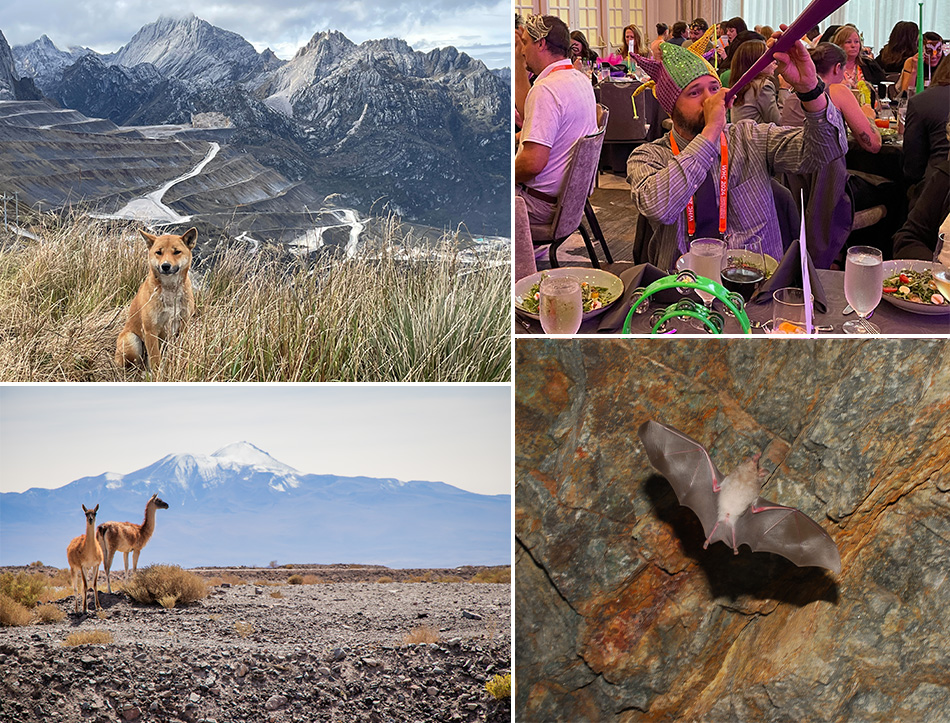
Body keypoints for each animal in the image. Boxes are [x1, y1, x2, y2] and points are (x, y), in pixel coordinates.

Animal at [115, 229, 197, 370]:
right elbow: (155, 360)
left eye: (177, 251)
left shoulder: (183, 324)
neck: (170, 290)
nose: (165, 266)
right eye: (159, 252)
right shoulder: (150, 331)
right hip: (132, 340)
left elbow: (181, 351)